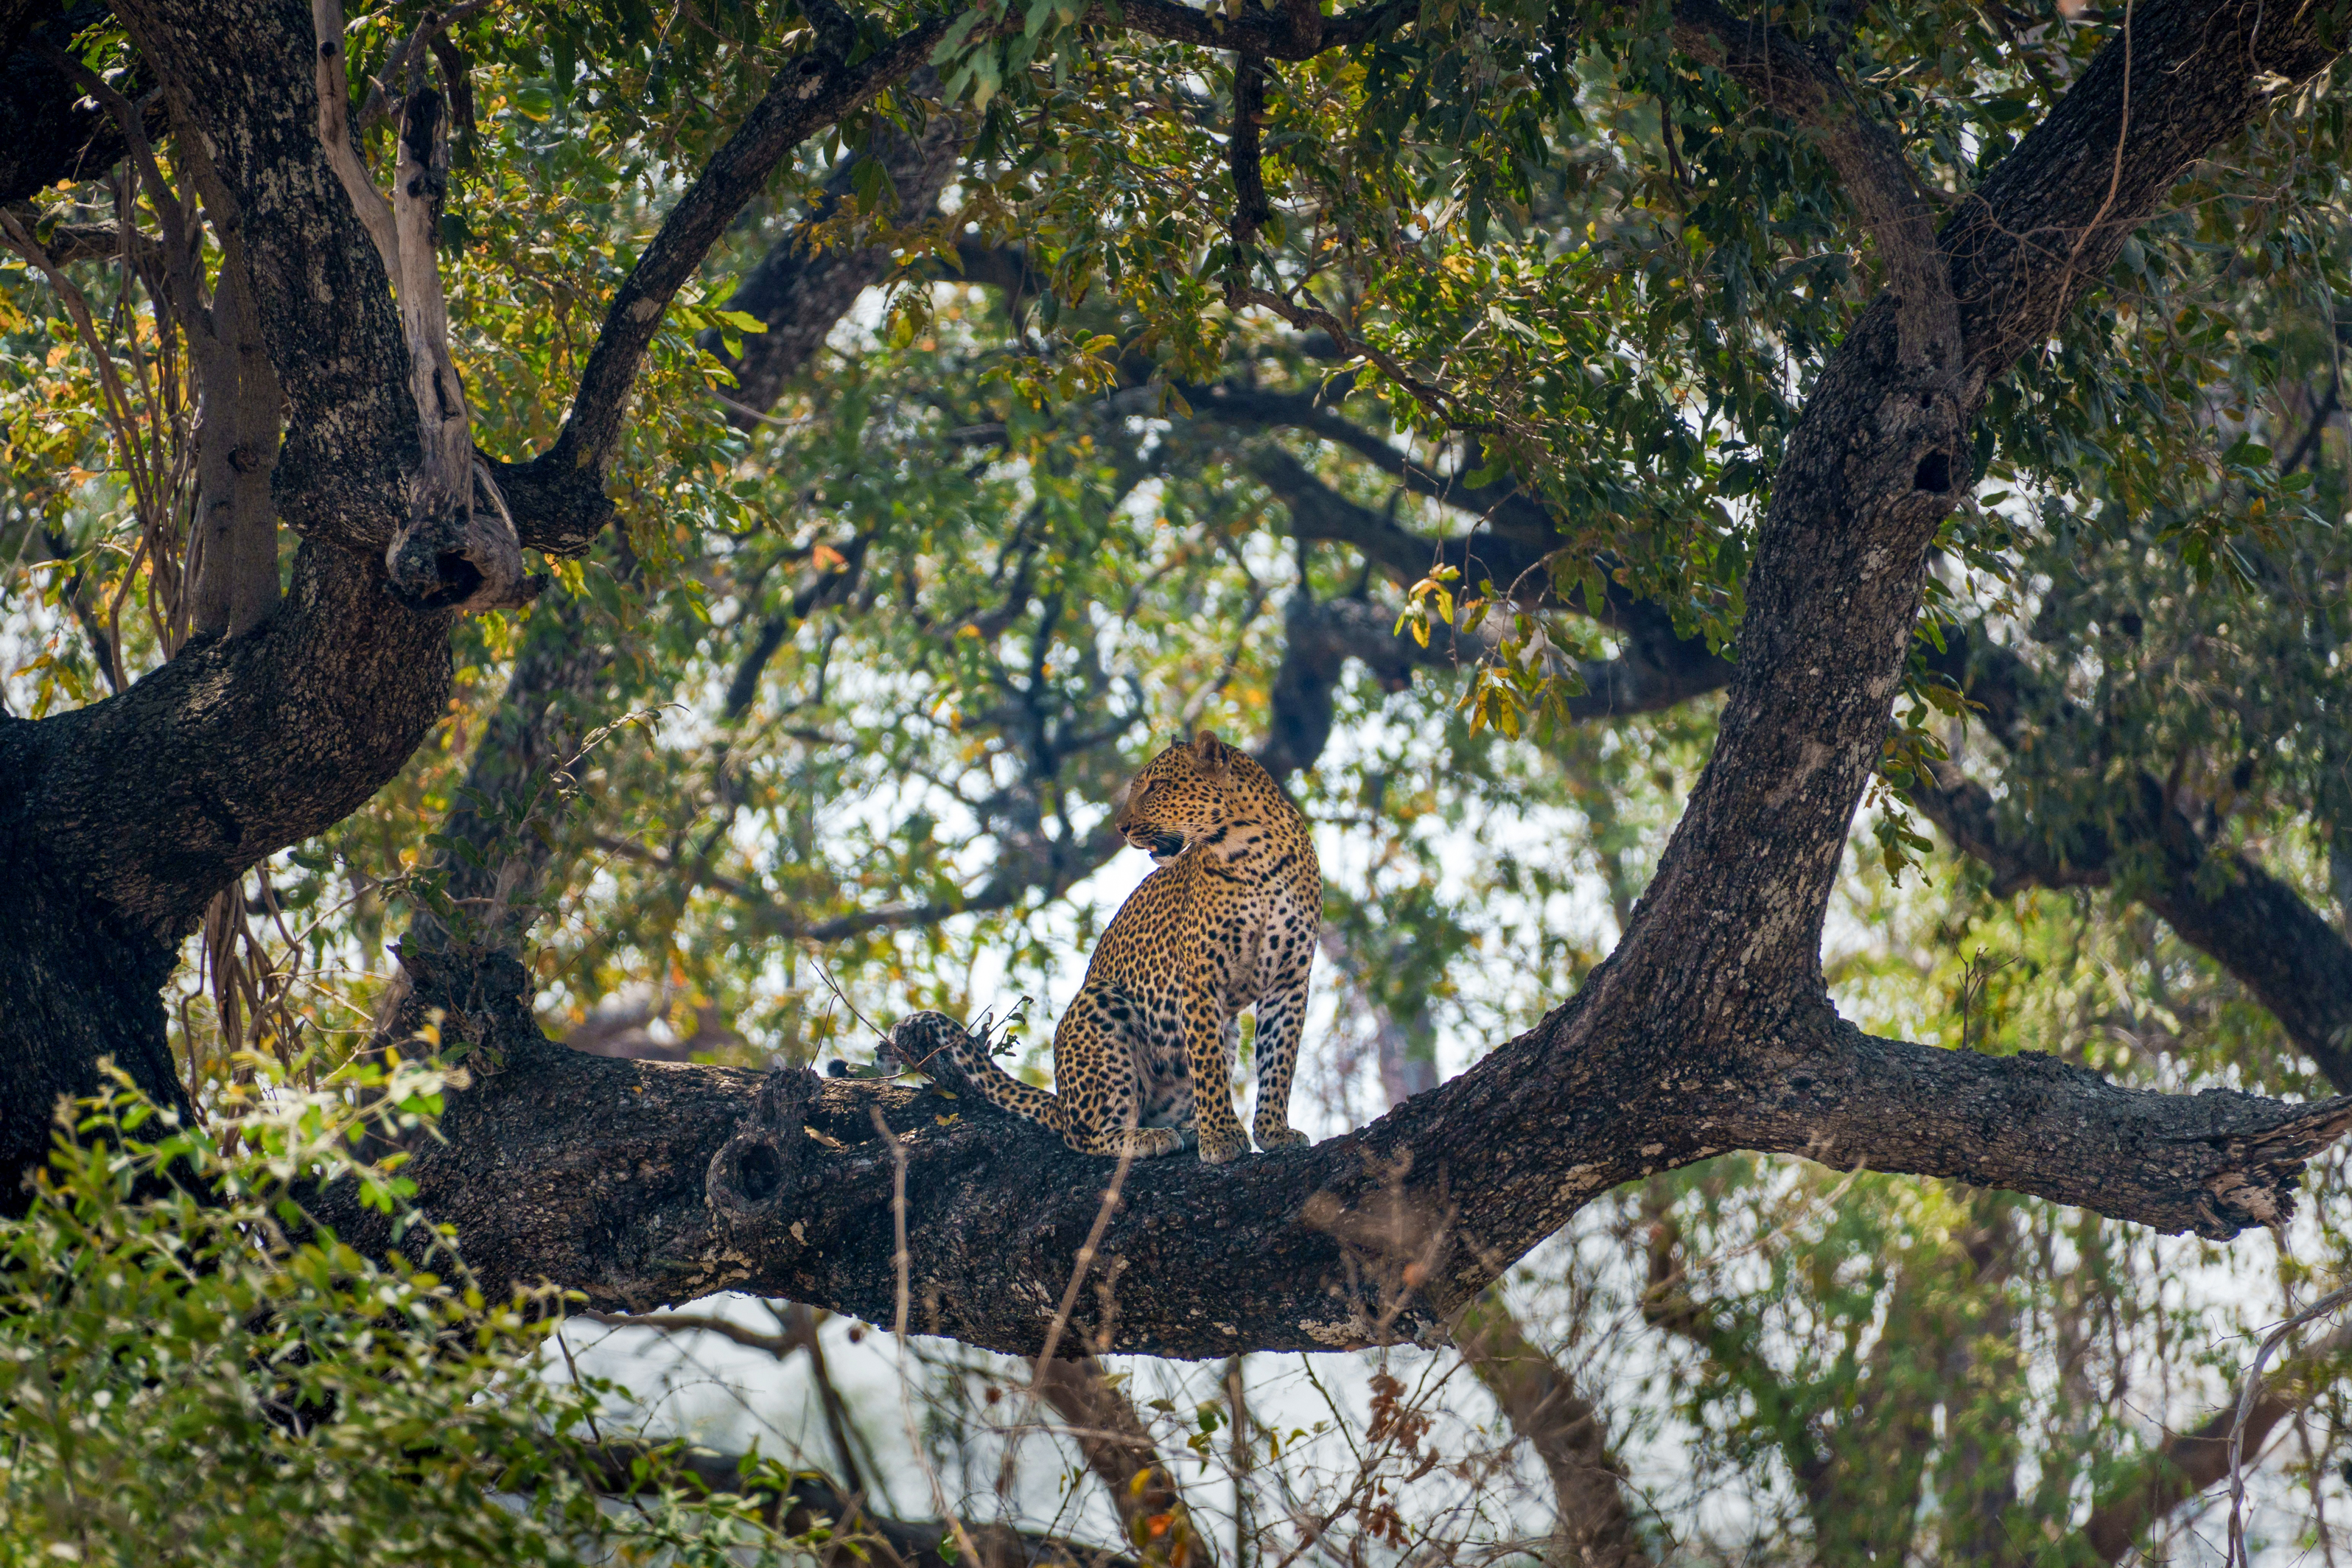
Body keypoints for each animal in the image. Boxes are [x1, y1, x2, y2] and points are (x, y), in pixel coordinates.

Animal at [886, 731, 1320, 1164]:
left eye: (1157, 786)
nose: (1122, 827)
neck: (1252, 853)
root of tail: (1061, 1103)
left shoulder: (1290, 979)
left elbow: (1279, 1060)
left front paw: (1273, 1131)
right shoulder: (1200, 977)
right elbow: (1208, 1065)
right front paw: (1222, 1136)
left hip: (1223, 1029)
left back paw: (1186, 1129)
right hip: (1099, 1004)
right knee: (1085, 1135)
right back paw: (1148, 1137)